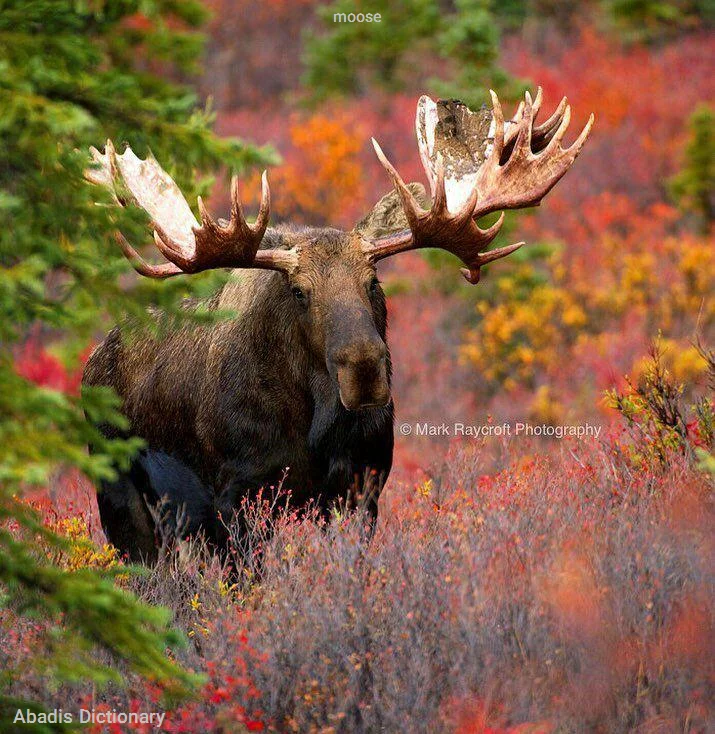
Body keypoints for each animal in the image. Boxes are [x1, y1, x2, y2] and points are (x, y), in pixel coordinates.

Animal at [83, 89, 593, 560]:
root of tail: (91, 366)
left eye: (373, 281)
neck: (314, 426)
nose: (364, 370)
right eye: (298, 291)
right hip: (122, 501)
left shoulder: (361, 489)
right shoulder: (237, 497)